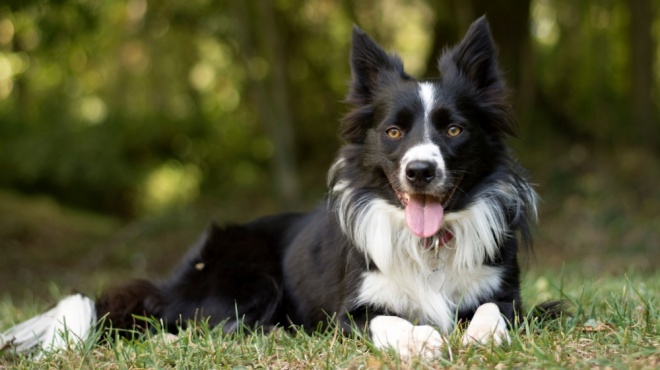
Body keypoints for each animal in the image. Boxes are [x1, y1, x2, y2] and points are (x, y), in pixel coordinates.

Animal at [1, 16, 540, 358]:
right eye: (393, 132)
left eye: (454, 130)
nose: (421, 171)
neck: (428, 246)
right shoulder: (347, 314)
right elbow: (388, 319)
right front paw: (420, 340)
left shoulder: (508, 295)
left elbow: (492, 310)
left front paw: (481, 337)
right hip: (249, 277)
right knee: (182, 322)